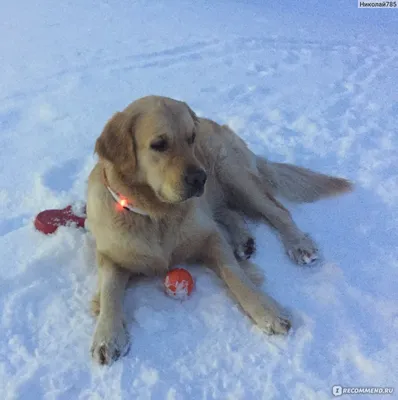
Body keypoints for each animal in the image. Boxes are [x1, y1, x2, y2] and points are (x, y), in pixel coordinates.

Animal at [86, 95, 352, 364]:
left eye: (191, 137)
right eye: (159, 144)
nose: (199, 178)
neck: (156, 215)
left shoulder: (209, 237)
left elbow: (235, 274)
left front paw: (267, 312)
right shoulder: (110, 256)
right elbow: (109, 291)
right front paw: (107, 336)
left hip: (232, 174)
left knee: (277, 212)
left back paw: (299, 245)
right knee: (228, 211)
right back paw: (243, 240)